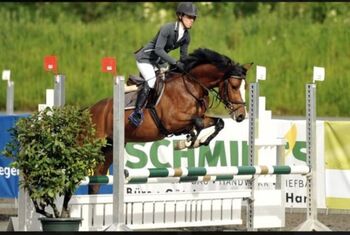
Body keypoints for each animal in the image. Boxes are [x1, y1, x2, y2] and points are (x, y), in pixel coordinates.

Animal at [87, 46, 252, 194]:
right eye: (234, 86)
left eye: (245, 87)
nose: (241, 115)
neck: (191, 86)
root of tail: (90, 110)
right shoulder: (171, 122)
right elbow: (197, 123)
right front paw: (188, 141)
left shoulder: (199, 118)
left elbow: (218, 123)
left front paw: (199, 141)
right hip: (93, 142)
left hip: (109, 147)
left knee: (96, 181)